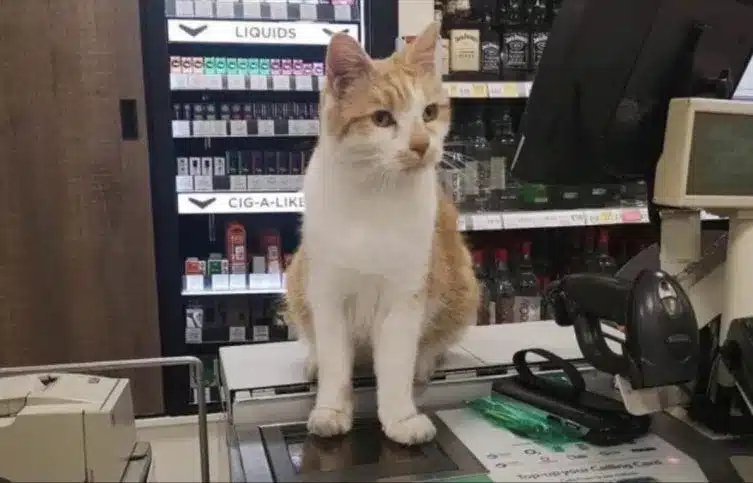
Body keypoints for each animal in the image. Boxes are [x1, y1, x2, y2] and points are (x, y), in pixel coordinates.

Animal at [282, 21, 476, 446]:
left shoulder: (405, 298)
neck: (375, 194)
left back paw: (424, 364)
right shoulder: (327, 293)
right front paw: (331, 411)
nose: (421, 145)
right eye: (382, 119)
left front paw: (401, 417)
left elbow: (396, 364)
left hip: (464, 286)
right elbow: (336, 365)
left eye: (429, 112)